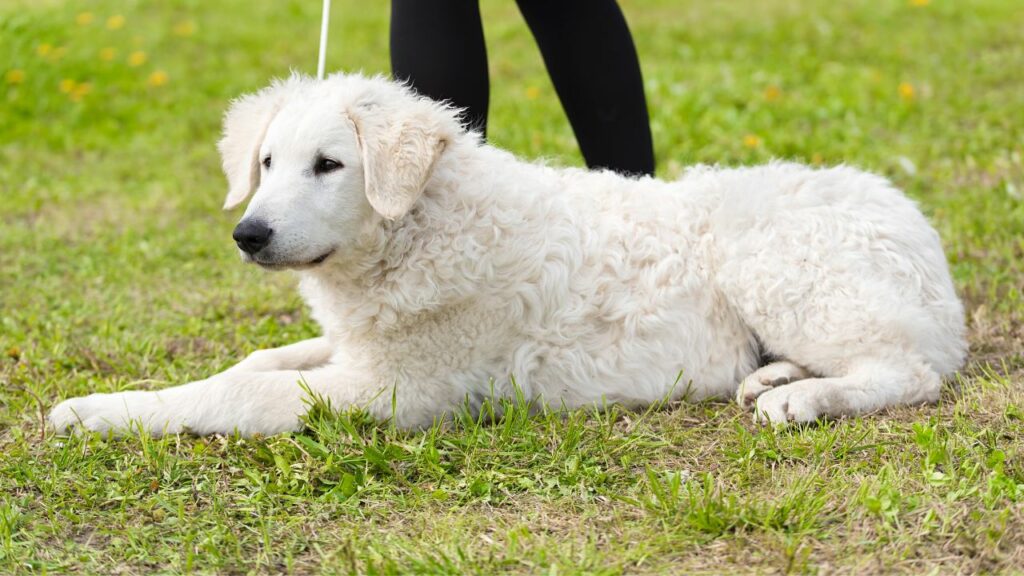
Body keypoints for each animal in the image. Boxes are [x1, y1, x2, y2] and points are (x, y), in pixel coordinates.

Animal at [49, 71, 966, 432]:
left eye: (330, 166)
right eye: (266, 164)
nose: (249, 234)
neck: (422, 225)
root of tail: (917, 227)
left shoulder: (393, 392)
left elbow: (235, 395)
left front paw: (97, 412)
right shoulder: (359, 349)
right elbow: (256, 361)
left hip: (778, 268)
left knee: (910, 373)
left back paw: (799, 400)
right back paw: (770, 377)